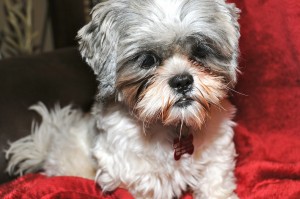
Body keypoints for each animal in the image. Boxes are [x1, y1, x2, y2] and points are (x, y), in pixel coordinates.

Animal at [5, 0, 240, 198]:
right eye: (147, 60)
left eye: (200, 52)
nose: (182, 81)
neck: (174, 126)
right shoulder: (142, 178)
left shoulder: (216, 157)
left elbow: (216, 185)